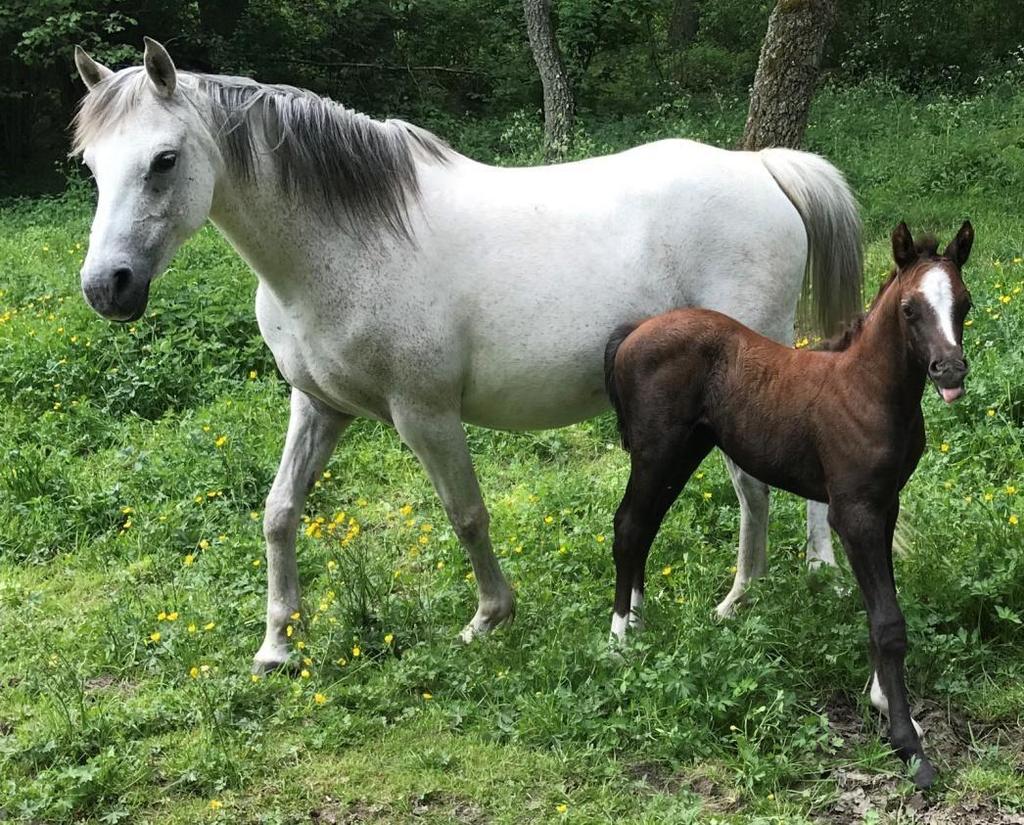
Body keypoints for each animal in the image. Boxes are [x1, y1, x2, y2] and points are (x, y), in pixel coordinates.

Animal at [70, 38, 856, 671]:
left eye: (164, 160)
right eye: (91, 166)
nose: (108, 287)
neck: (348, 243)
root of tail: (762, 170)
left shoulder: (425, 414)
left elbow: (466, 512)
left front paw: (490, 617)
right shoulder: (318, 406)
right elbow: (280, 510)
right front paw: (276, 644)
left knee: (761, 476)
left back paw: (768, 586)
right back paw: (788, 577)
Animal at [602, 223, 970, 790]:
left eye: (965, 303)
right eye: (910, 308)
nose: (949, 370)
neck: (867, 390)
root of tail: (636, 331)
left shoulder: (884, 506)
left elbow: (879, 608)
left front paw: (883, 701)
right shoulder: (854, 512)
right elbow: (888, 622)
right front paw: (907, 744)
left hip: (684, 451)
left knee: (642, 528)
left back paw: (638, 625)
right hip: (657, 452)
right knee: (627, 527)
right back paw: (620, 639)